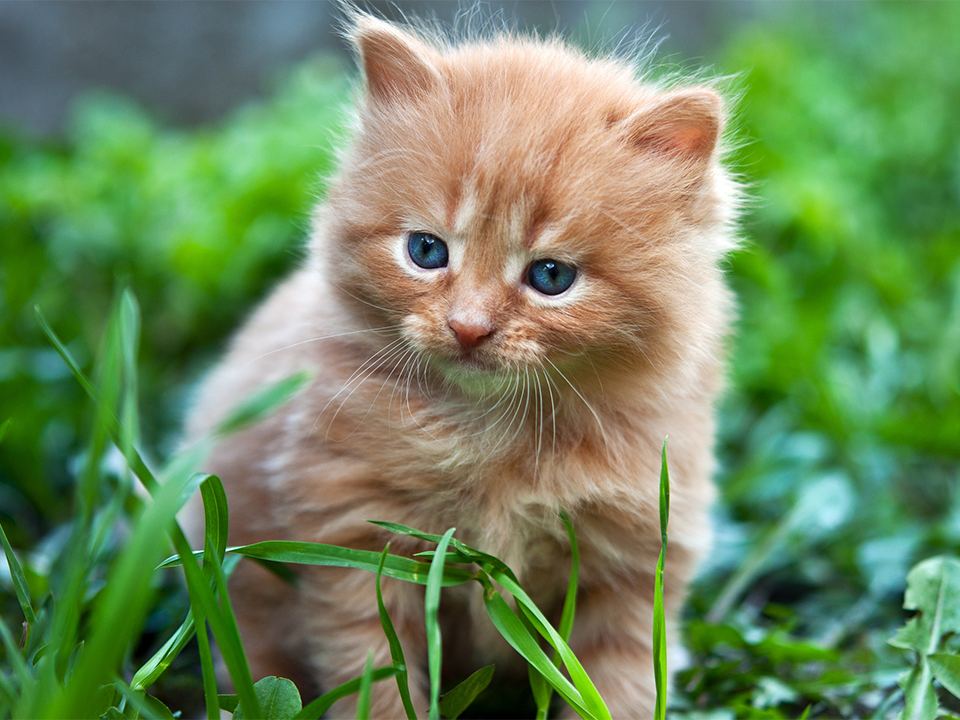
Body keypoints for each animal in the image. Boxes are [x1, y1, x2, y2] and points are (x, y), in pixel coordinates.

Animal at [186, 12, 744, 720]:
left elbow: (618, 685)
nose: (469, 327)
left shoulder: (635, 559)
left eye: (551, 276)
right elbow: (375, 673)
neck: (494, 433)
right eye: (427, 251)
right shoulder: (352, 538)